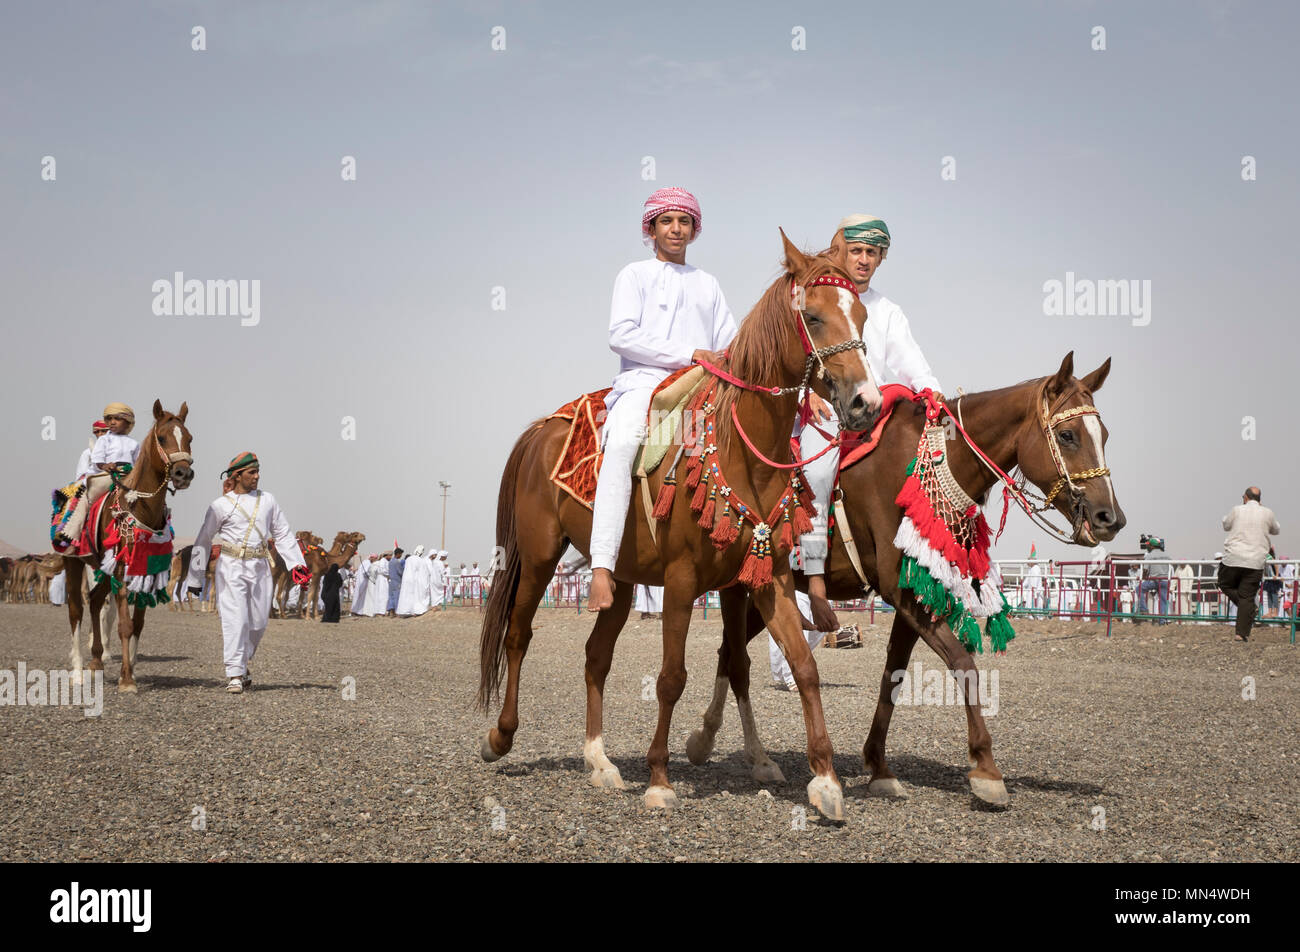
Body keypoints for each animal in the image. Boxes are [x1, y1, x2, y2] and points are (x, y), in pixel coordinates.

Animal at [64, 400, 193, 691]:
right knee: (77, 610)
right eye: (161, 438)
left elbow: (138, 623)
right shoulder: (122, 571)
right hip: (74, 563)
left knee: (95, 603)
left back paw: (96, 661)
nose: (183, 473)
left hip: (101, 568)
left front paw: (131, 668)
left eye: (189, 438)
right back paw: (77, 672)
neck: (140, 506)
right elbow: (124, 624)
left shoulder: (146, 569)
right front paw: (126, 680)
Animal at [483, 232, 889, 816]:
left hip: (620, 578)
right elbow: (672, 677)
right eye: (812, 317)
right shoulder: (680, 581)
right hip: (538, 558)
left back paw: (599, 762)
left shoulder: (765, 578)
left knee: (595, 656)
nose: (865, 403)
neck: (742, 451)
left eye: (860, 313)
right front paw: (660, 777)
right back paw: (500, 737)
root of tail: (542, 429)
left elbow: (797, 666)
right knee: (518, 635)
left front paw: (825, 781)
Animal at [686, 353, 1123, 806]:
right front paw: (986, 768)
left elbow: (893, 672)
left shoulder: (915, 588)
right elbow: (963, 662)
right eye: (1068, 435)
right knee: (734, 656)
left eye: (1104, 435)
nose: (1110, 517)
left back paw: (709, 740)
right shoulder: (901, 590)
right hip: (744, 587)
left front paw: (878, 765)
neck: (929, 463)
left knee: (729, 652)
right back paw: (723, 746)